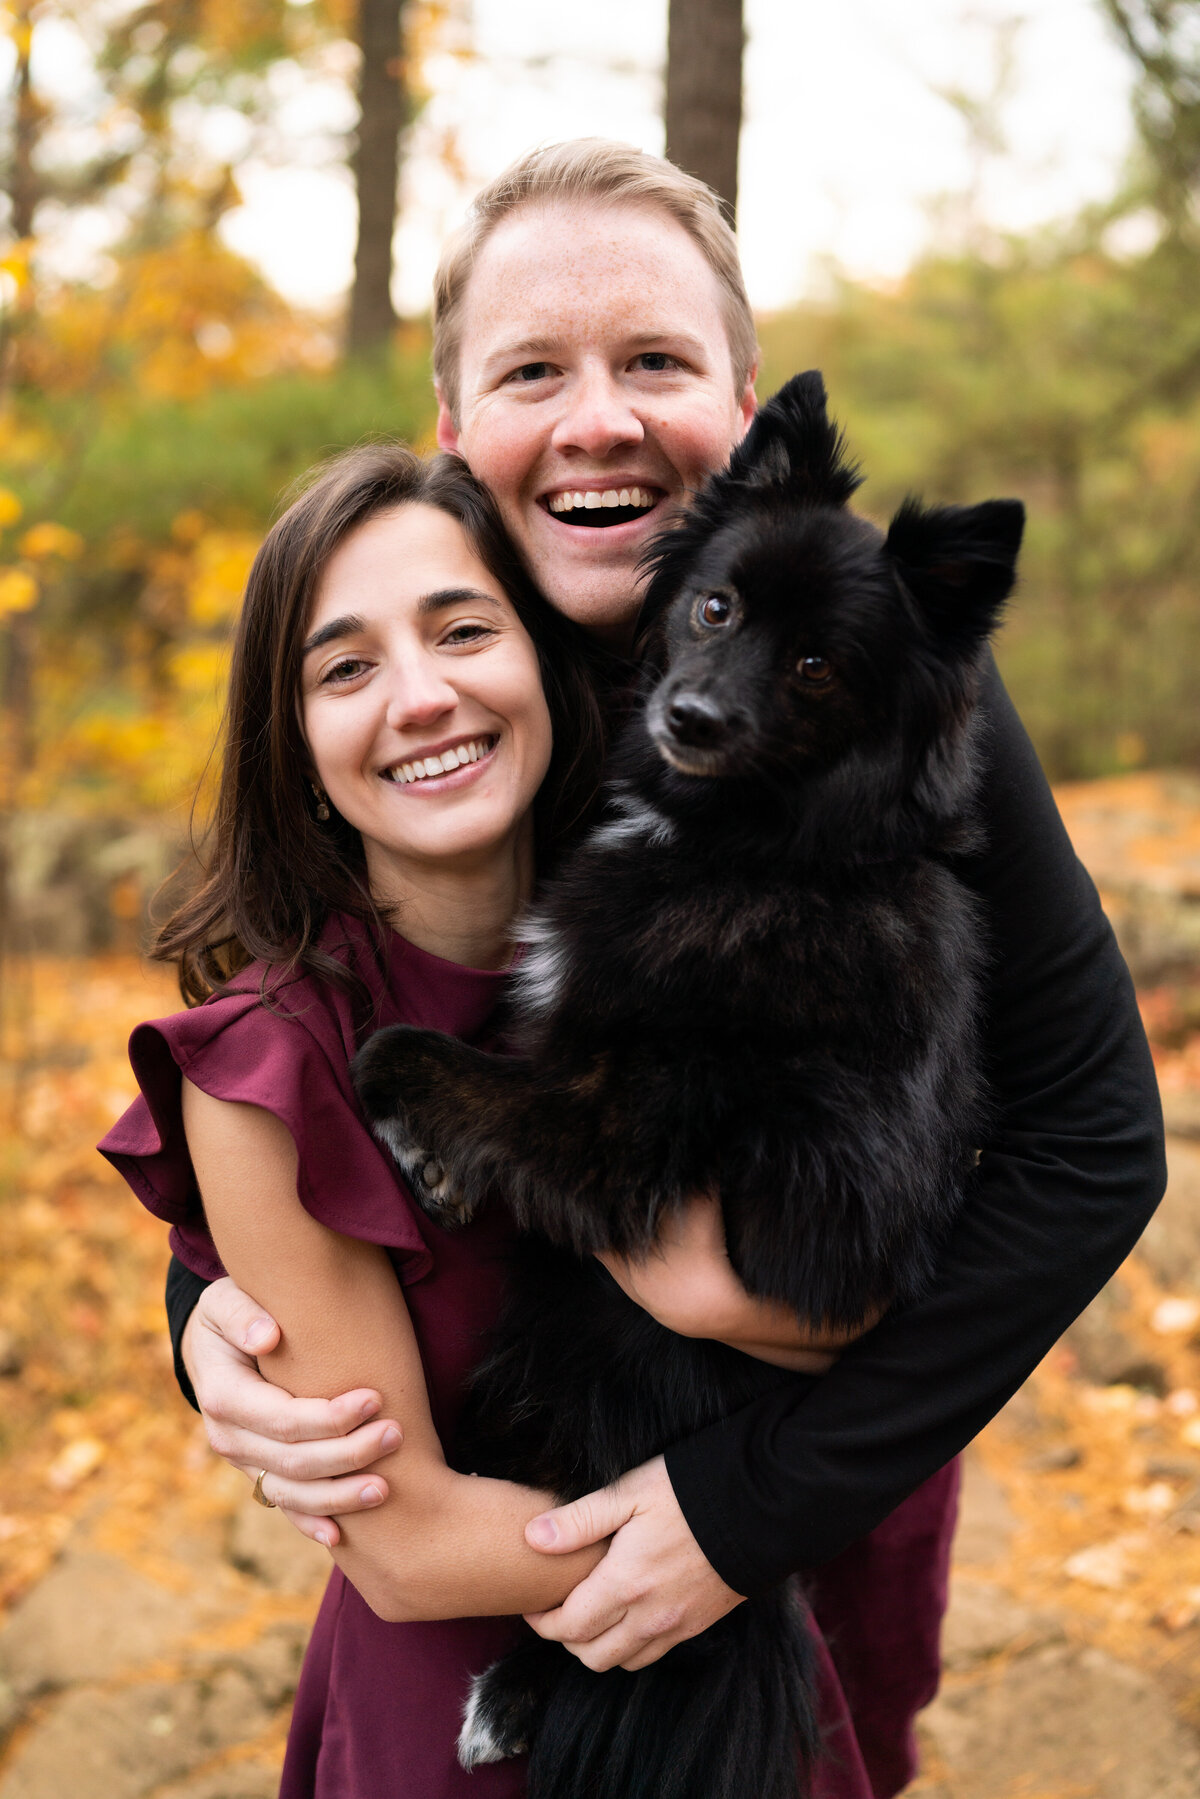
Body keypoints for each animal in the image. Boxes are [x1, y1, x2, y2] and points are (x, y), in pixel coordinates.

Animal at [349, 372, 1021, 1791]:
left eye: (818, 665)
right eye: (715, 608)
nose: (691, 717)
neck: (753, 849)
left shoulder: (625, 1135)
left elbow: (409, 1052)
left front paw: (427, 1152)